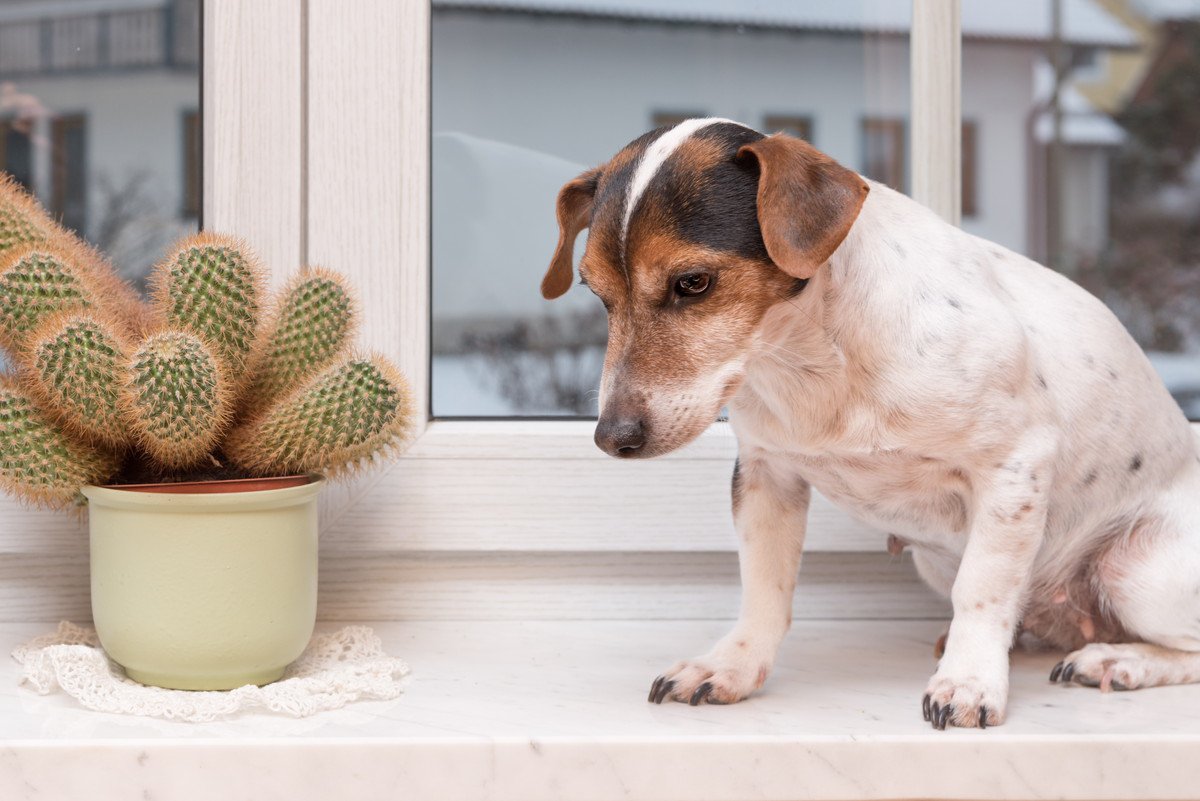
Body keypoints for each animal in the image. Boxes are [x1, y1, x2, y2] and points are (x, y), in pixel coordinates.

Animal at [540, 117, 1200, 724]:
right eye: (596, 294)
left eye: (693, 283)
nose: (611, 438)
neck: (813, 357)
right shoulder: (765, 475)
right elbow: (763, 588)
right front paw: (730, 665)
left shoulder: (1014, 465)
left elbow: (982, 590)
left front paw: (968, 683)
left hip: (1135, 572)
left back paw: (1117, 659)